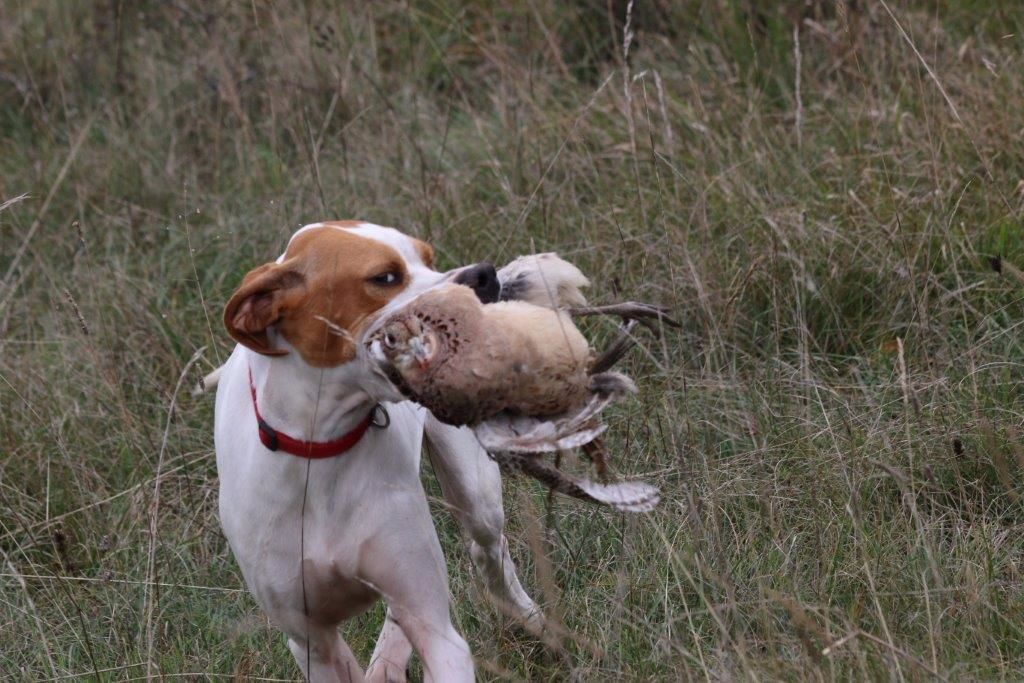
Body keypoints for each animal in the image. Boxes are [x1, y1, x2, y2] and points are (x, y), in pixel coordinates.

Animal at [211, 222, 540, 679]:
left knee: (487, 548)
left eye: (429, 259)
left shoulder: (437, 630)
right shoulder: (312, 643)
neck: (321, 448)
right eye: (385, 277)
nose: (483, 276)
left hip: (476, 496)